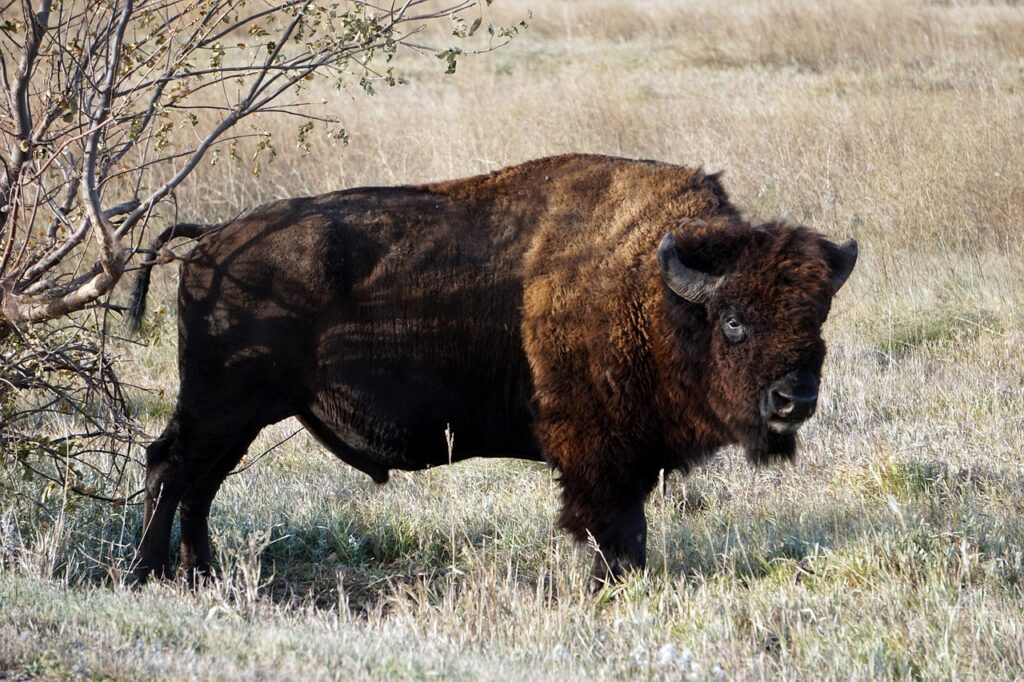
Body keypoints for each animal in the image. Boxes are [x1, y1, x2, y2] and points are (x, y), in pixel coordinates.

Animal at [129, 154, 857, 587]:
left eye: (817, 317)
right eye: (734, 321)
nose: (793, 399)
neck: (655, 290)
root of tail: (212, 238)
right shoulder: (600, 456)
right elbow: (616, 526)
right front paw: (614, 586)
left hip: (239, 416)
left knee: (197, 484)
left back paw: (199, 574)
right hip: (221, 406)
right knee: (172, 469)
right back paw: (146, 575)